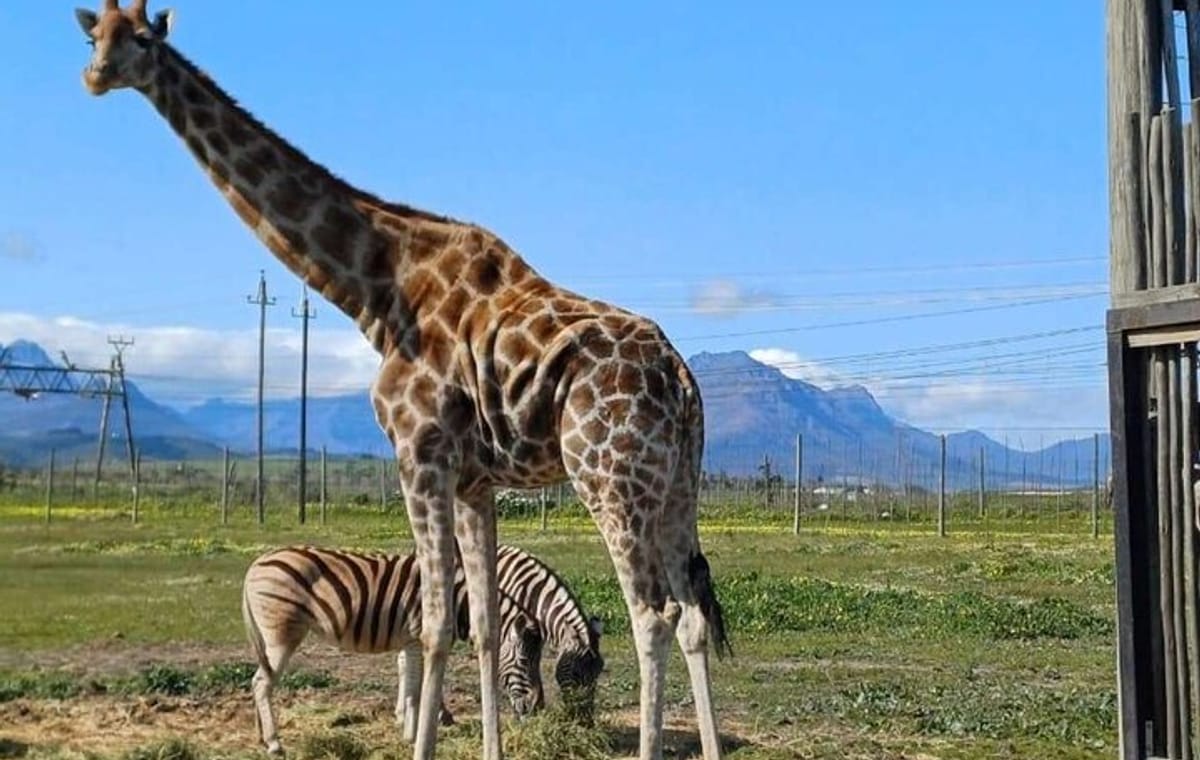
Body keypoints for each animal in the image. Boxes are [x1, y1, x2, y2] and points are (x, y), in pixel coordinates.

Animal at [73, 3, 731, 759]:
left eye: (140, 40)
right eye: (93, 34)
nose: (96, 75)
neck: (378, 290)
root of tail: (681, 378)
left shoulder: (418, 451)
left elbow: (436, 625)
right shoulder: (475, 480)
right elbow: (481, 631)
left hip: (608, 475)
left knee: (651, 614)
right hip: (678, 481)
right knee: (691, 615)